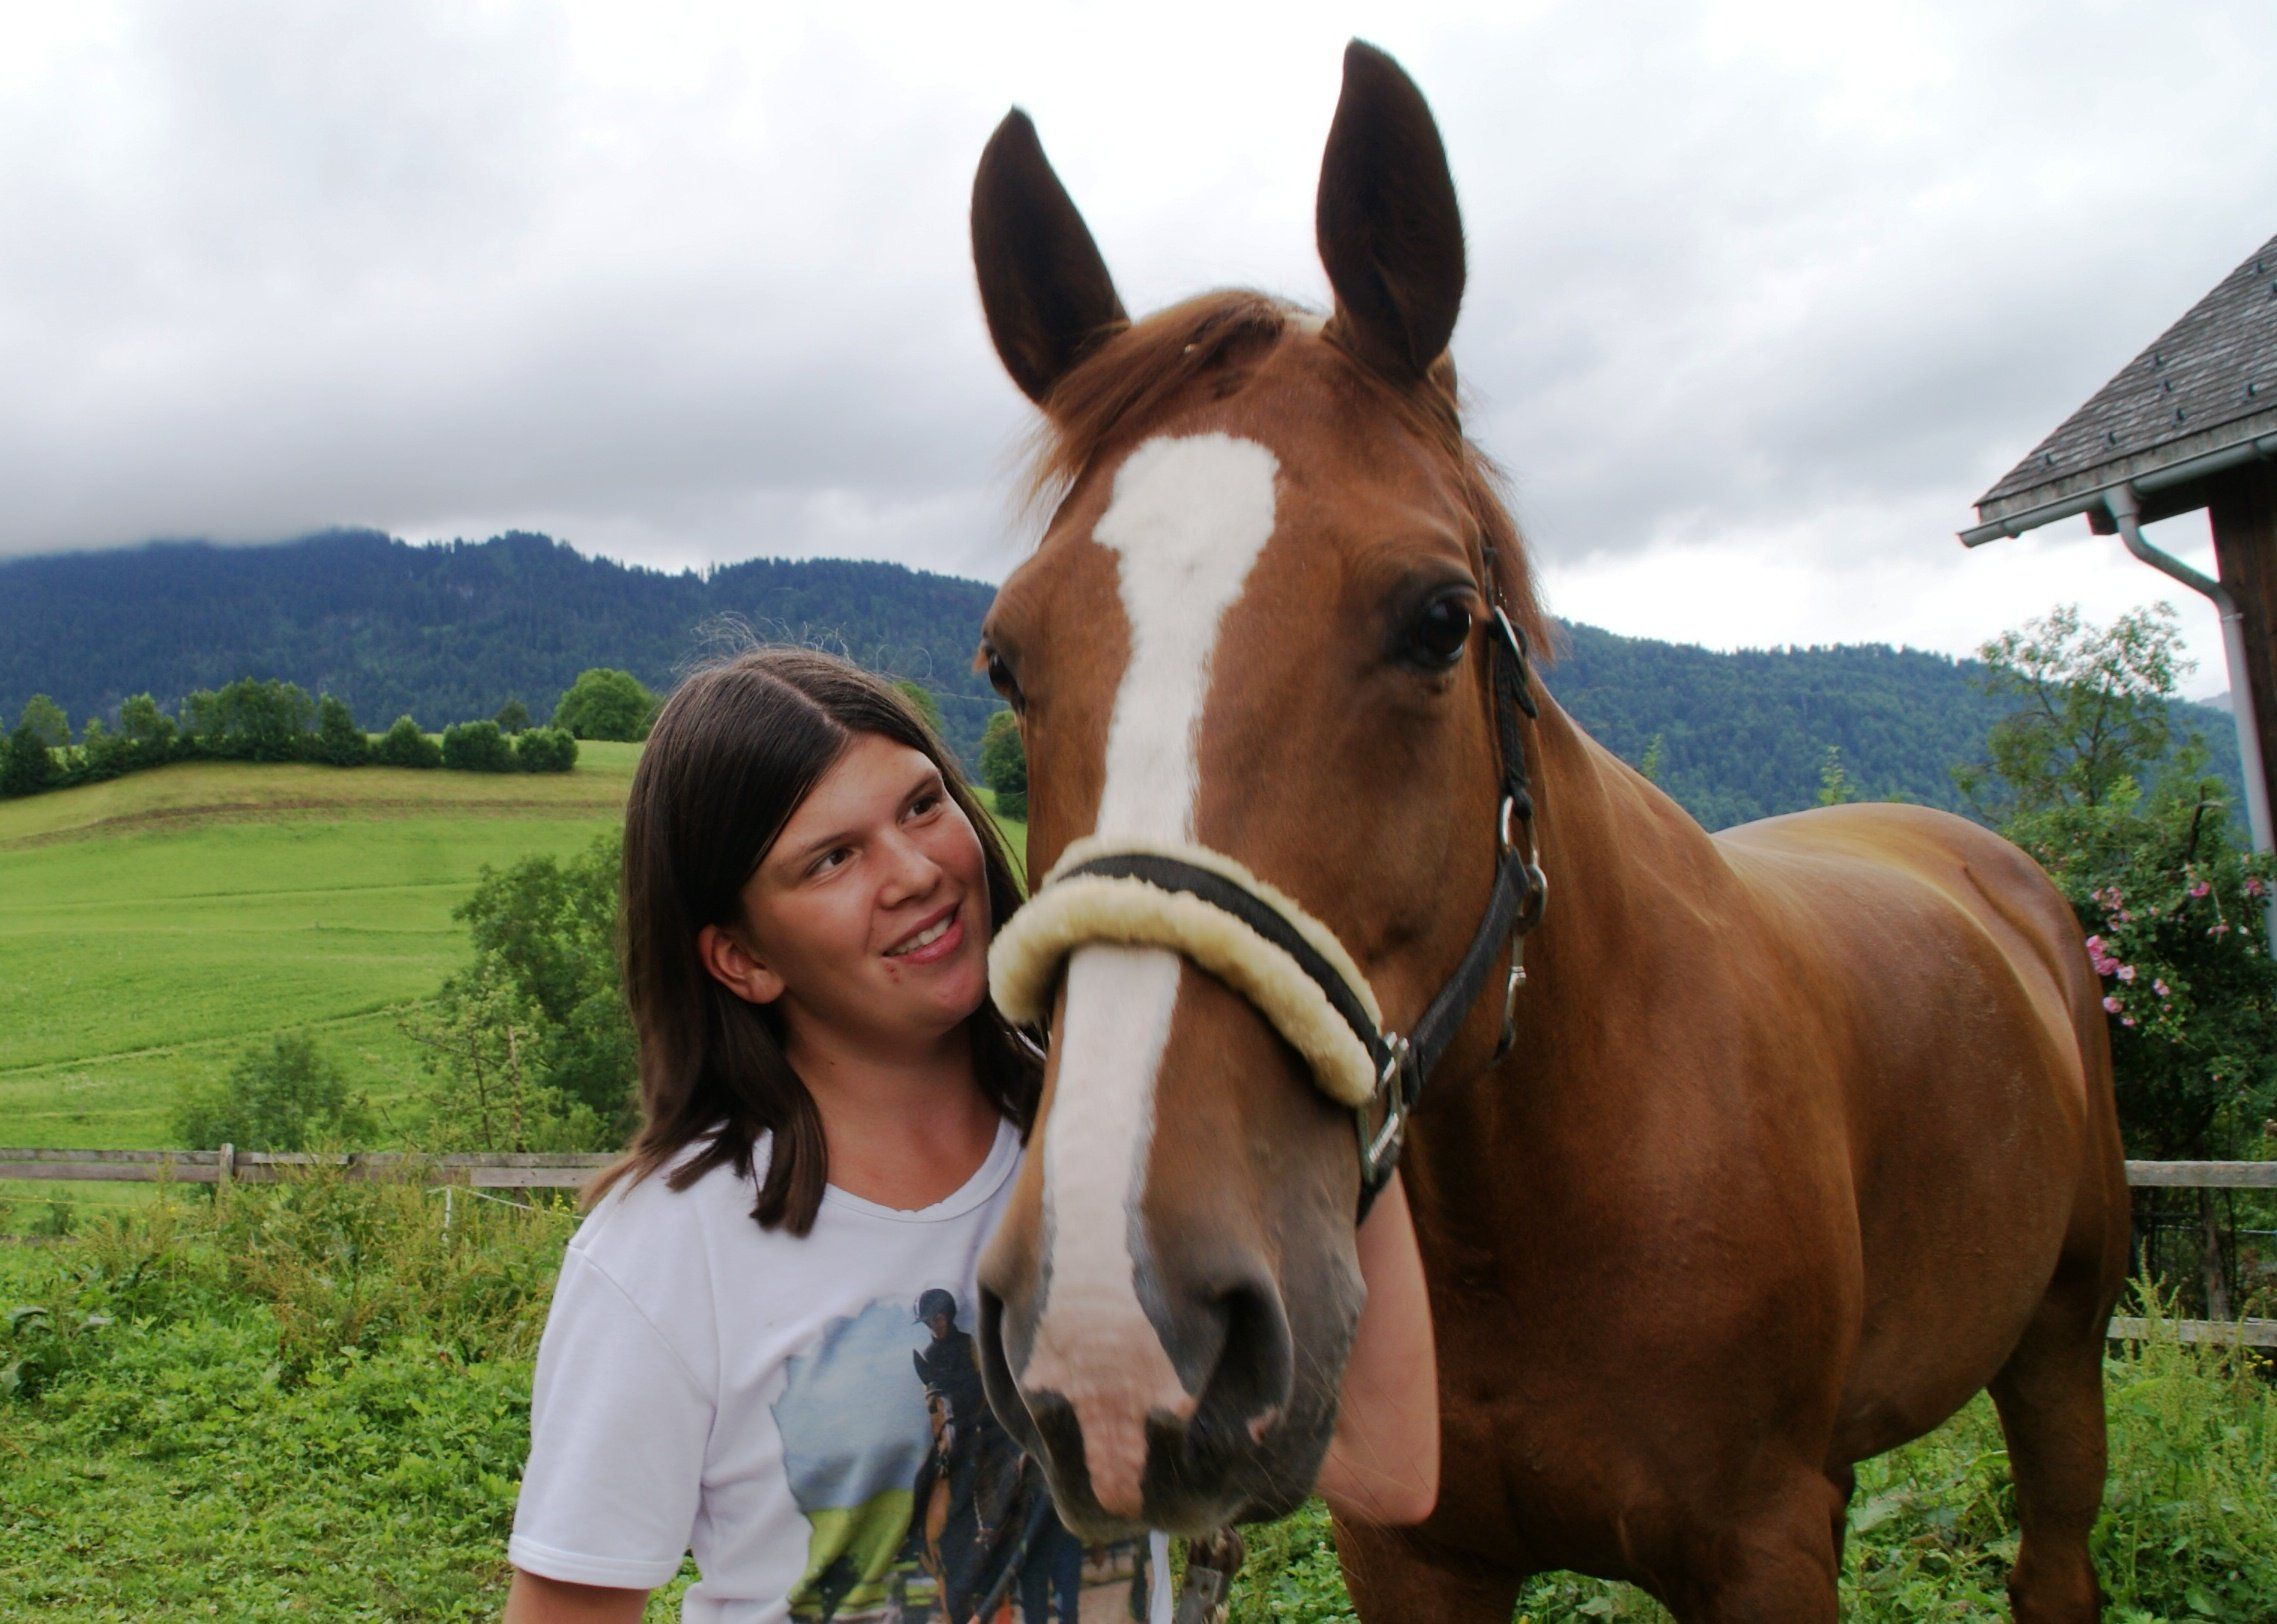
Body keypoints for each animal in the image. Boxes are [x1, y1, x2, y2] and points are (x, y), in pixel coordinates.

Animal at [962, 39, 2130, 1624]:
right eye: (1006, 660)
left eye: (1439, 619)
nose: (1114, 1327)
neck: (1532, 1196)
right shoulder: (1410, 1555)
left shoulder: (1764, 1541)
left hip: (2060, 1346)